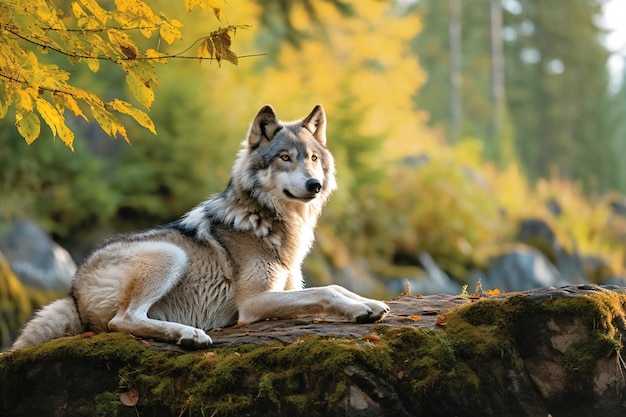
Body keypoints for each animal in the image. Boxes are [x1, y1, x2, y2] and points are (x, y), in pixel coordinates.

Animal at [12, 103, 388, 348]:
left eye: (312, 158)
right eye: (285, 158)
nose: (315, 185)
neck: (269, 220)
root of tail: (72, 292)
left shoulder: (288, 287)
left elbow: (335, 286)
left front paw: (369, 303)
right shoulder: (254, 302)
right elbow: (325, 292)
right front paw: (358, 309)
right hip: (170, 254)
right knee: (122, 321)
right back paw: (188, 334)